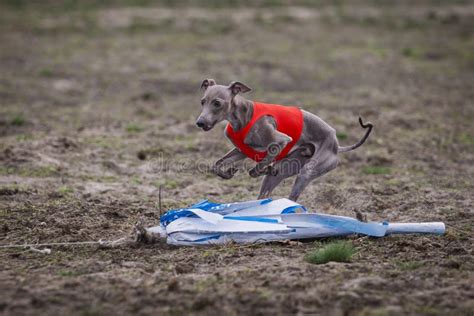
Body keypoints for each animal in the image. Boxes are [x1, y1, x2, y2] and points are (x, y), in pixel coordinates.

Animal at [194, 80, 372, 201]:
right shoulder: (241, 151)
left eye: (217, 103)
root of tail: (337, 145)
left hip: (307, 172)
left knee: (292, 198)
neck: (244, 116)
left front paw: (262, 168)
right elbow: (217, 165)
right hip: (288, 167)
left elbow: (258, 167)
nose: (200, 123)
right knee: (266, 194)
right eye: (202, 101)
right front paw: (228, 172)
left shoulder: (281, 140)